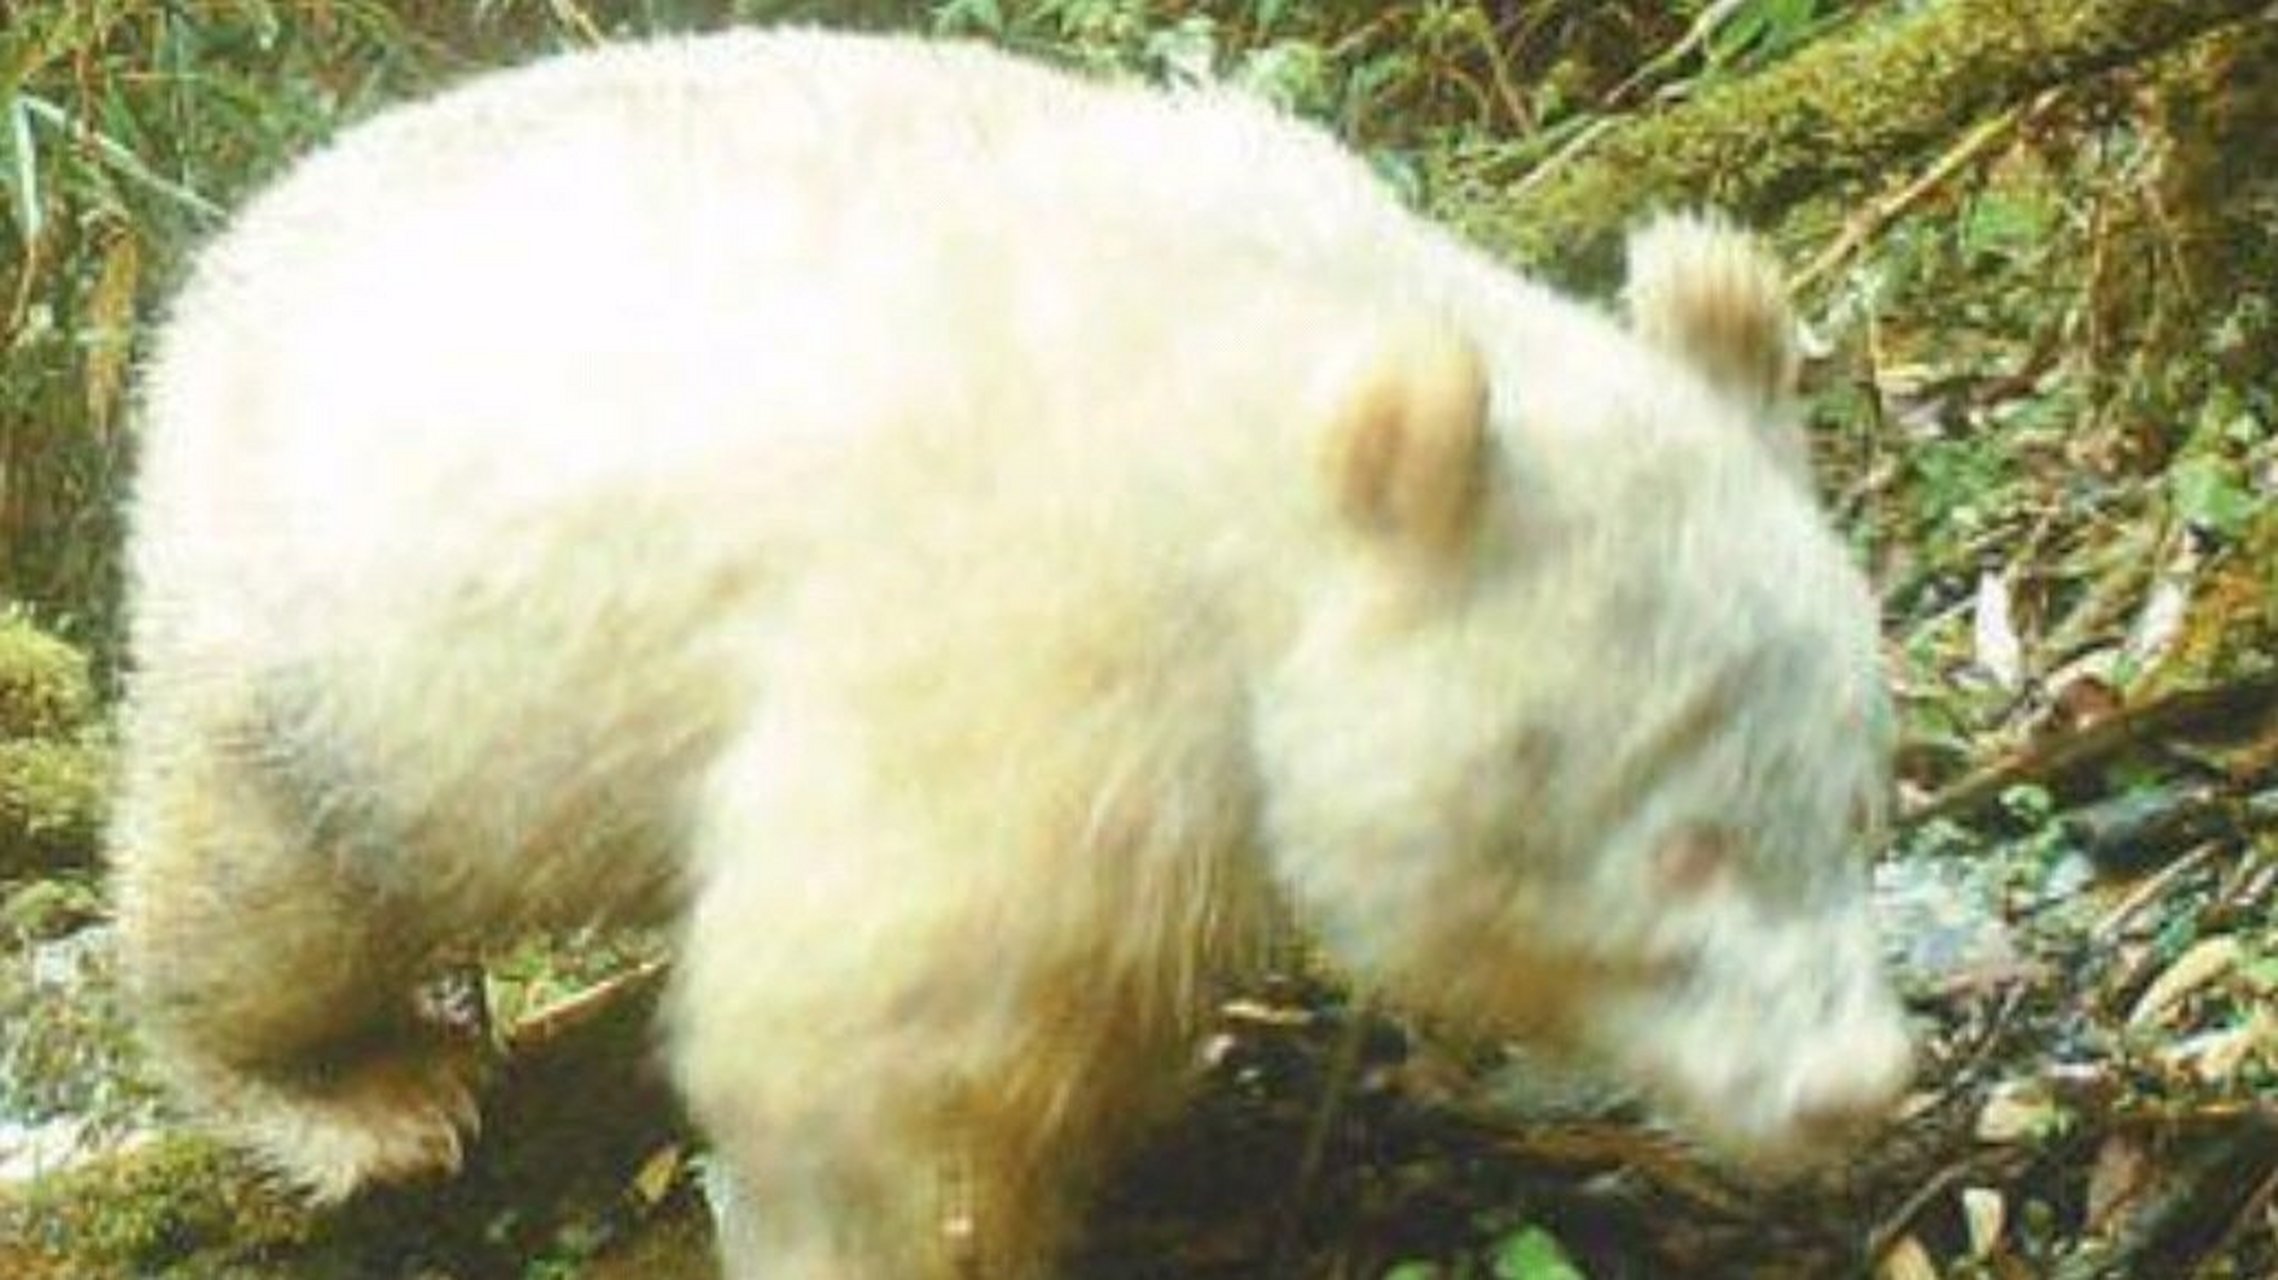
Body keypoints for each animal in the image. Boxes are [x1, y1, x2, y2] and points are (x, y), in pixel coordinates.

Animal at [108, 27, 1912, 1279]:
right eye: (1681, 847)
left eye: (1859, 805)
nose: (1854, 1086)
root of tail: (215, 273)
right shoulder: (1028, 636)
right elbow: (856, 1028)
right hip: (337, 641)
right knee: (268, 889)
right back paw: (354, 1090)